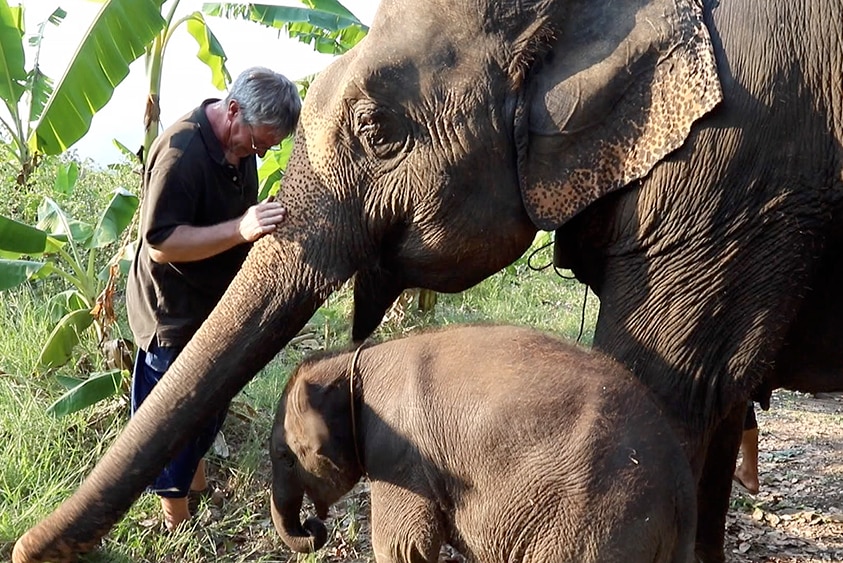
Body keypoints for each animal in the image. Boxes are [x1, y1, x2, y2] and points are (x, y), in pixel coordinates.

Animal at [272, 324, 700, 560]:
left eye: (285, 457)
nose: (313, 527)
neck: (355, 359)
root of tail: (681, 479)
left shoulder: (399, 456)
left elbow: (400, 546)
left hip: (596, 523)